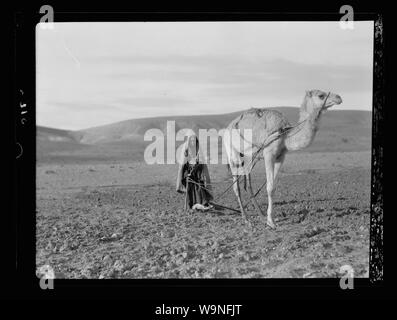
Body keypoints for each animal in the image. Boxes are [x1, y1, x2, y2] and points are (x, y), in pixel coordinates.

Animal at [221, 90, 342, 229]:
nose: (339, 97)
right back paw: (246, 219)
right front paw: (271, 222)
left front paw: (268, 218)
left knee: (248, 184)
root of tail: (227, 128)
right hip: (232, 154)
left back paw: (260, 214)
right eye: (321, 95)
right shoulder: (268, 154)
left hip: (248, 157)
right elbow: (269, 187)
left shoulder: (280, 157)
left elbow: (274, 187)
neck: (285, 135)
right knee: (236, 187)